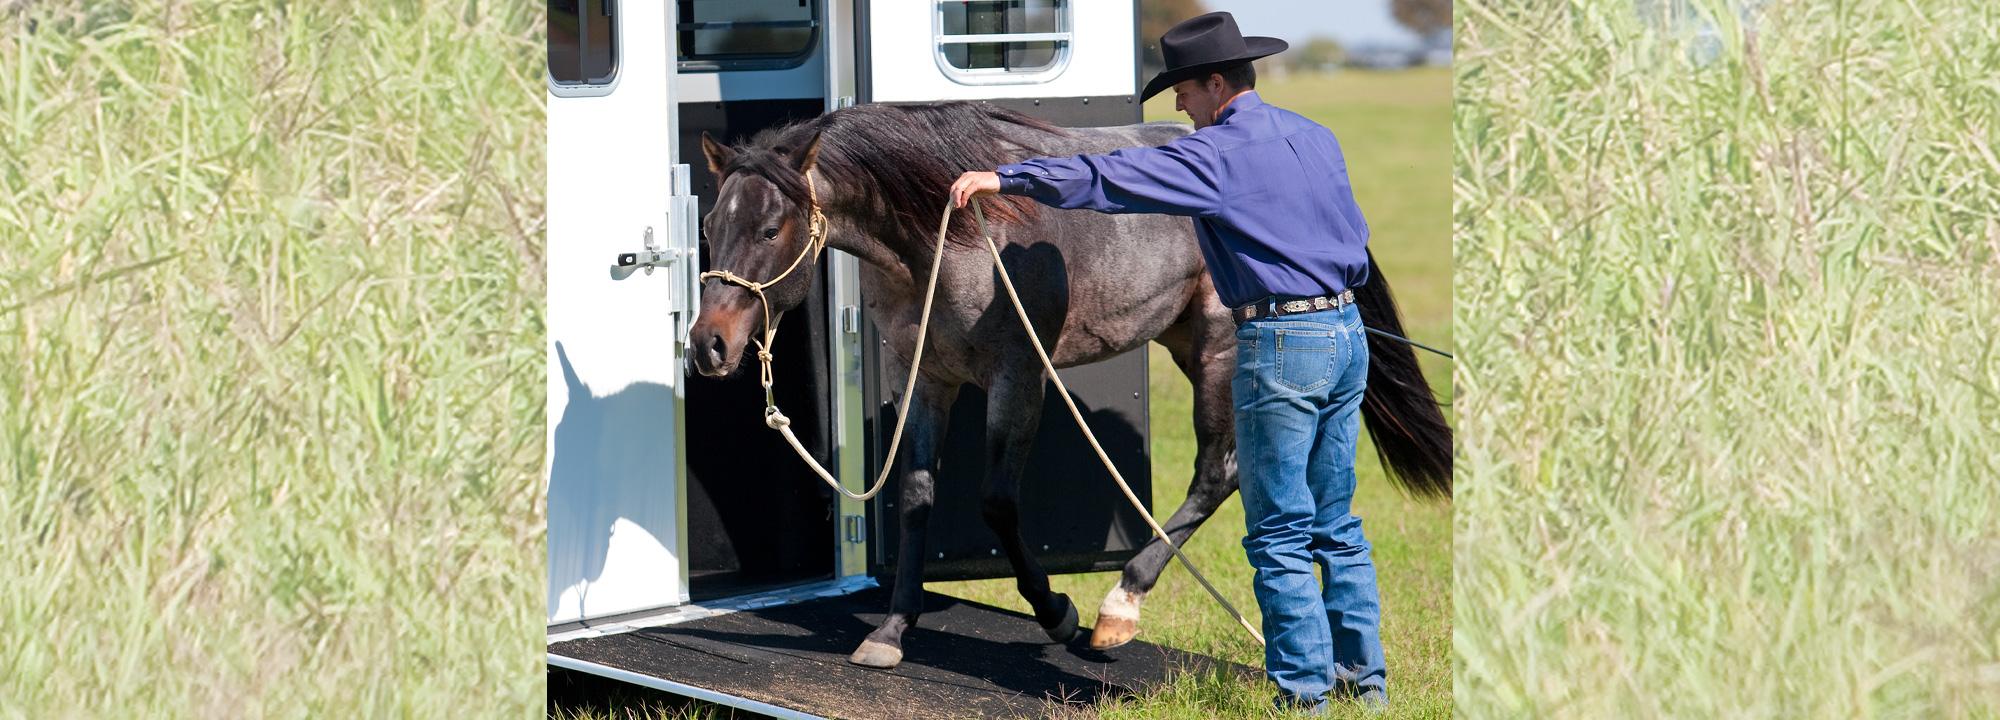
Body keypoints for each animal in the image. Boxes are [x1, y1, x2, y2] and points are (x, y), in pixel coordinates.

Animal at [687, 102, 1451, 669]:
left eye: (770, 227)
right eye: (710, 224)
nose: (708, 345)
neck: (950, 235)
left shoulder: (1018, 375)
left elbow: (997, 502)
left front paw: (1056, 612)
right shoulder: (925, 377)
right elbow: (916, 498)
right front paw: (891, 632)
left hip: (1220, 350)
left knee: (1217, 471)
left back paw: (1118, 609)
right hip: (1183, 341)